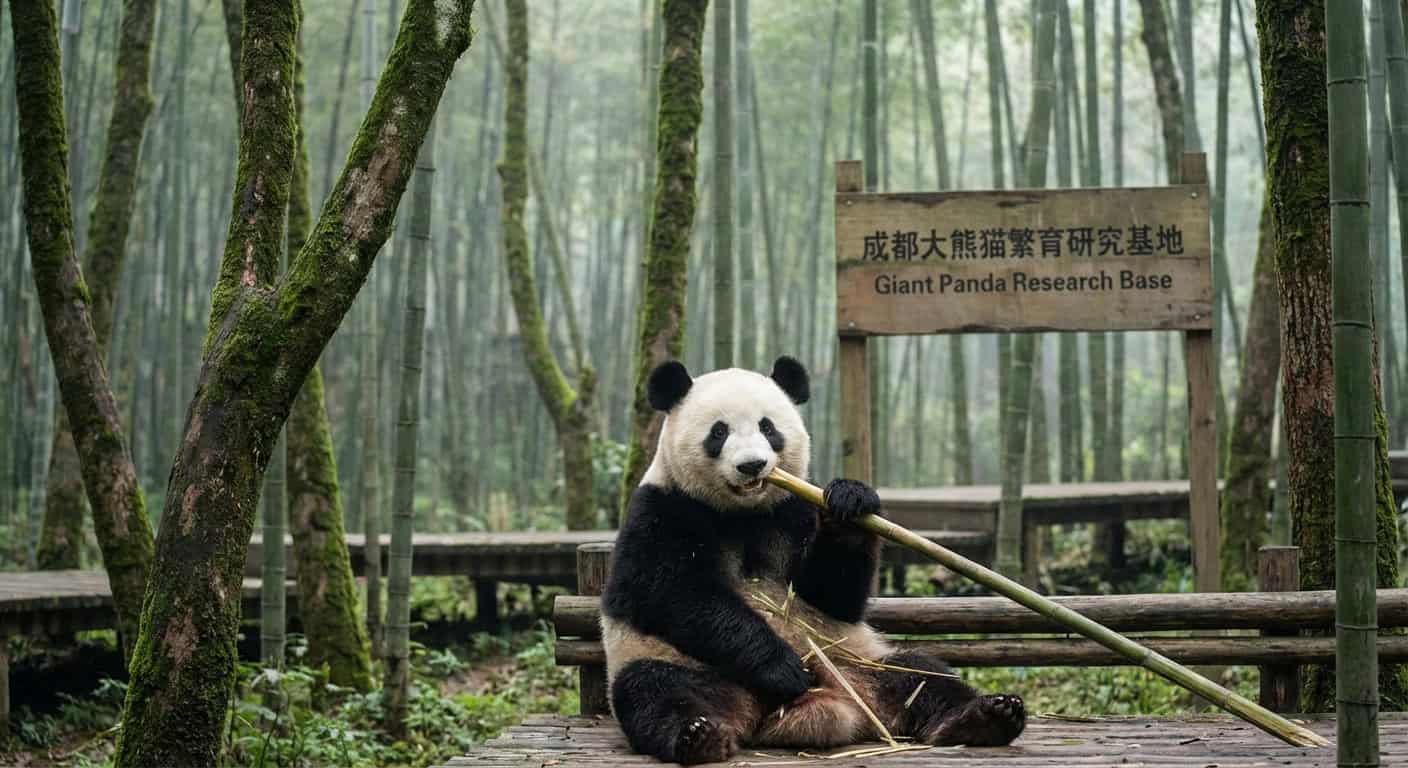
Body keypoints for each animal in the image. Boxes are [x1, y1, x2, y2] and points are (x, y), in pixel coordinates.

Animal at [601, 356, 1026, 764]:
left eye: (768, 427)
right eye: (718, 432)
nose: (752, 465)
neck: (743, 512)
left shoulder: (795, 508)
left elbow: (831, 594)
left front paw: (850, 503)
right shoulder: (663, 510)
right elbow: (671, 593)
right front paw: (783, 669)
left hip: (860, 661)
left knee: (922, 673)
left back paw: (987, 717)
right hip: (682, 665)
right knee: (655, 691)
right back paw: (699, 736)